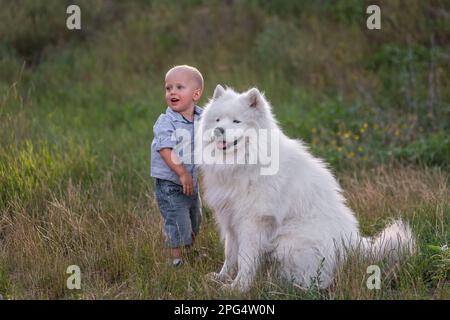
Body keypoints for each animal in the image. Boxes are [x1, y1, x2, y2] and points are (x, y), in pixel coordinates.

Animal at [197, 85, 414, 292]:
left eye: (236, 121)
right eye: (217, 120)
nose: (219, 130)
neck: (245, 161)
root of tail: (353, 245)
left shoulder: (253, 222)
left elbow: (245, 259)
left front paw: (238, 287)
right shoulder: (230, 219)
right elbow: (230, 254)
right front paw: (221, 277)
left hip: (289, 243)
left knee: (318, 279)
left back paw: (282, 286)